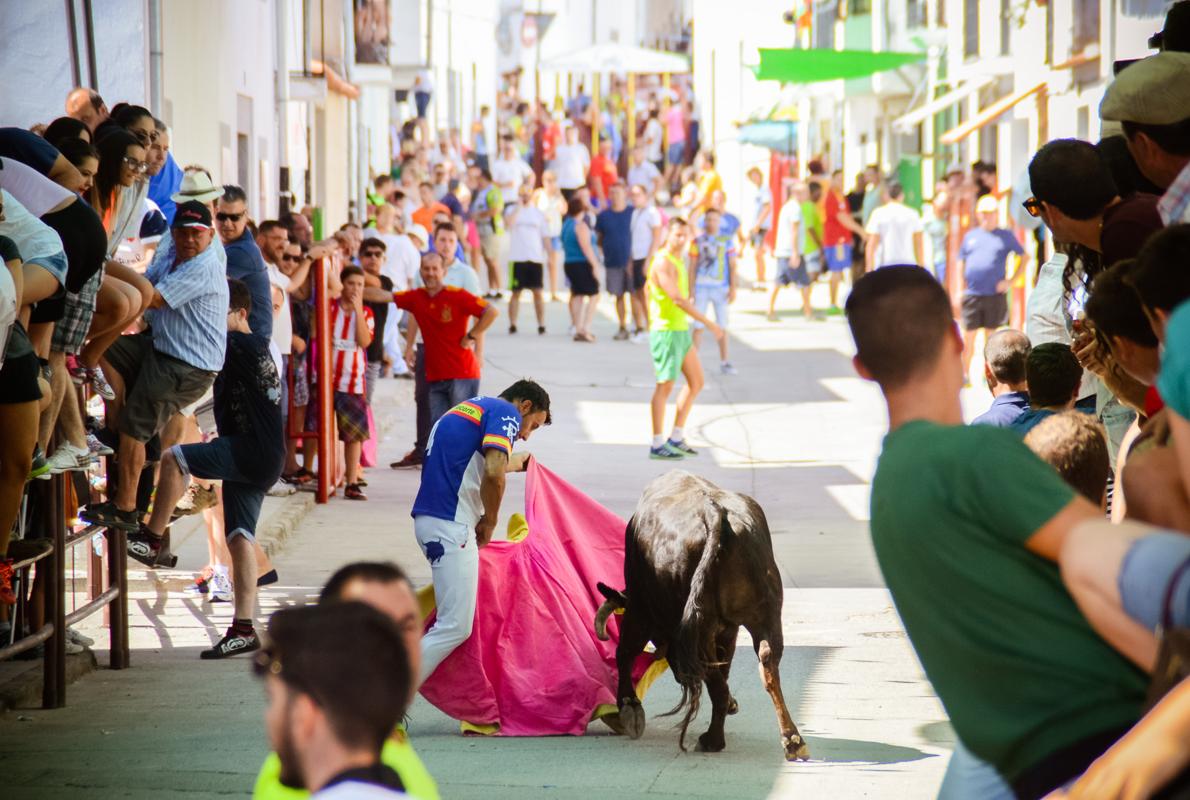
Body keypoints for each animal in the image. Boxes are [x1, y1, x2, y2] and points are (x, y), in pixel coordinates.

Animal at [595, 471, 809, 757]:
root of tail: (715, 513)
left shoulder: (640, 608)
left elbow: (625, 652)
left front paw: (629, 708)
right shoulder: (729, 629)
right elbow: (725, 666)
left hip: (699, 626)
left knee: (715, 681)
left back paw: (712, 739)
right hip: (766, 615)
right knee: (766, 663)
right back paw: (792, 740)